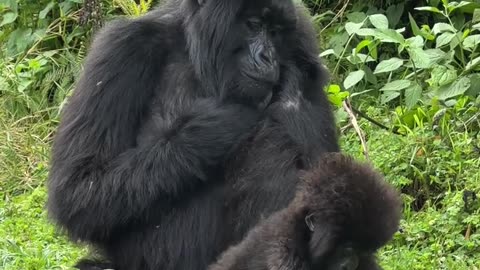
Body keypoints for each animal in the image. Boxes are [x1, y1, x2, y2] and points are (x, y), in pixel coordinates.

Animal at [46, 0, 338, 268]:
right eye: (253, 25)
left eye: (275, 32)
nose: (269, 57)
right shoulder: (121, 48)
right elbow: (78, 187)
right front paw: (216, 124)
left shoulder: (303, 47)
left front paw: (291, 99)